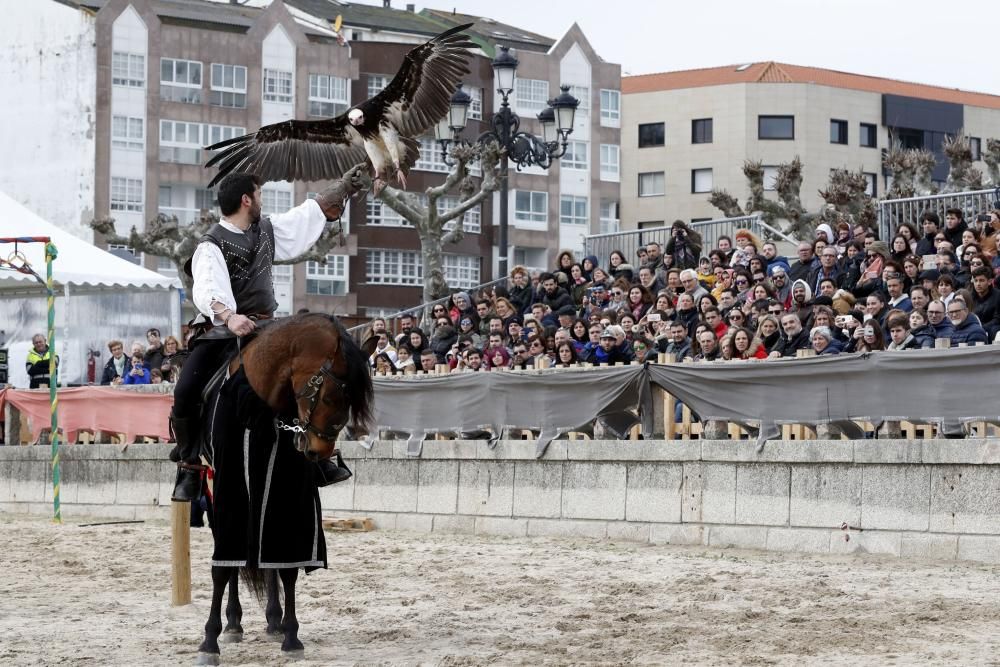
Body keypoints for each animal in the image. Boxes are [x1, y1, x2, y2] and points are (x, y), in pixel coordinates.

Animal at [197, 316, 376, 664]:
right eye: (331, 398)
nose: (318, 451)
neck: (257, 405)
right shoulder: (228, 489)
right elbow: (222, 570)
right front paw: (209, 640)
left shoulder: (288, 492)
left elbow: (287, 566)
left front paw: (291, 635)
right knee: (234, 564)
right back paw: (234, 622)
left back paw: (273, 620)